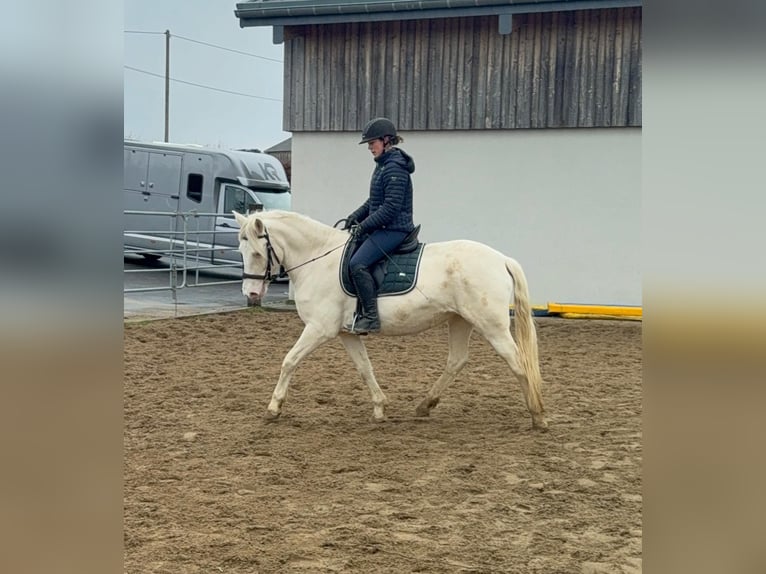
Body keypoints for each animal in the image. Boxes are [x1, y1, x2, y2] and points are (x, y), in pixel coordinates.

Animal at [233, 210, 548, 430]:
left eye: (258, 253)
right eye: (241, 251)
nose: (250, 293)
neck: (318, 260)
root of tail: (502, 259)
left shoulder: (319, 329)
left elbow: (289, 360)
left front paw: (273, 409)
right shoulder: (347, 333)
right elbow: (364, 368)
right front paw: (380, 408)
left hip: (491, 325)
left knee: (518, 362)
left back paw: (538, 416)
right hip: (460, 320)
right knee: (457, 360)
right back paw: (424, 406)